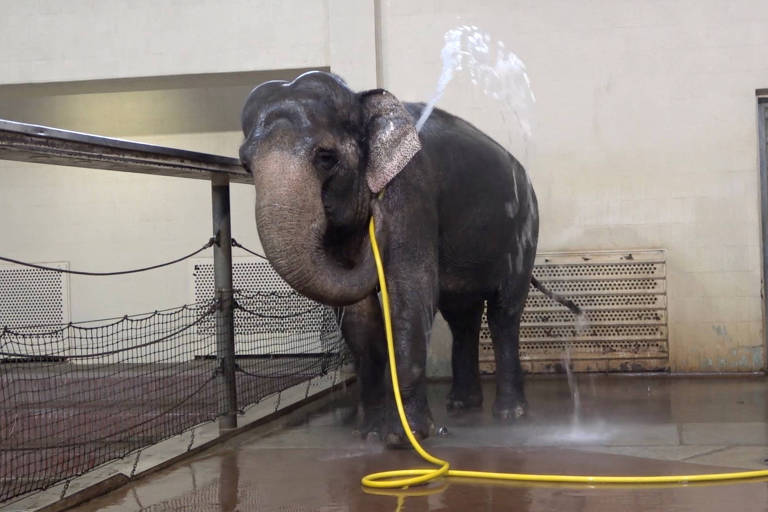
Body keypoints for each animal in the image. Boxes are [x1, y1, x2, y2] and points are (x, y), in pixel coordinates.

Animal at [237, 70, 580, 446]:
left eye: (326, 157)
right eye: (245, 165)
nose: (375, 224)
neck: (362, 100)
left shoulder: (411, 189)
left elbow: (410, 290)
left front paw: (405, 438)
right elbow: (357, 313)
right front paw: (369, 434)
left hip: (524, 229)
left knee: (503, 312)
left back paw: (510, 414)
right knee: (461, 316)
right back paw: (462, 406)